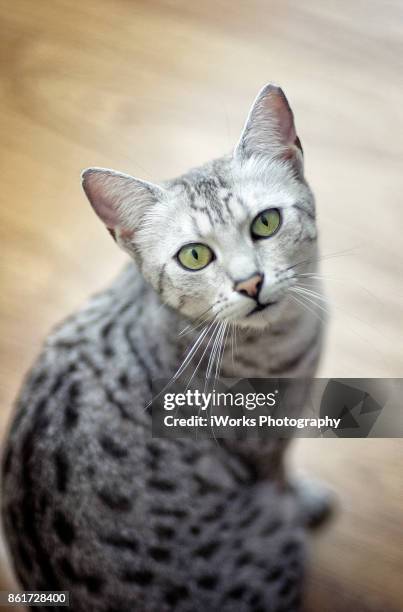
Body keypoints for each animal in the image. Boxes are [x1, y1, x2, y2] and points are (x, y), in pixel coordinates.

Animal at [1, 85, 332, 612]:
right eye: (194, 256)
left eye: (266, 223)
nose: (250, 282)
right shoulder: (263, 450)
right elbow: (282, 480)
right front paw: (304, 500)